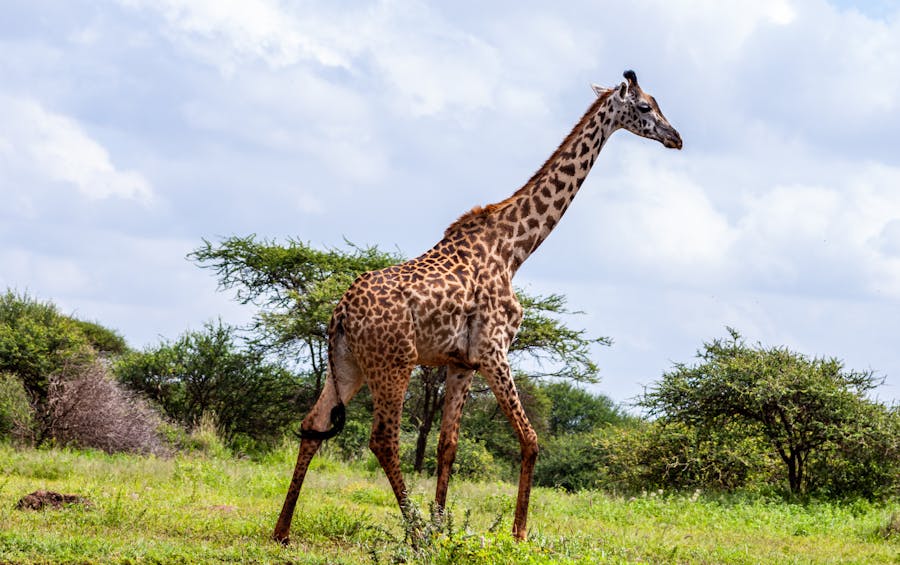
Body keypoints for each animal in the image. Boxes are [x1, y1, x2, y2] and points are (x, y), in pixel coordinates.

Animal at [273, 70, 682, 543]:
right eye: (646, 106)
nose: (676, 138)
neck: (514, 248)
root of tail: (339, 313)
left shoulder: (461, 362)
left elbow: (447, 444)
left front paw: (442, 526)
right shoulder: (493, 349)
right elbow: (530, 439)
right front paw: (517, 534)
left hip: (348, 364)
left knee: (314, 424)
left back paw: (283, 531)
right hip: (394, 363)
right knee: (383, 439)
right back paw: (413, 535)